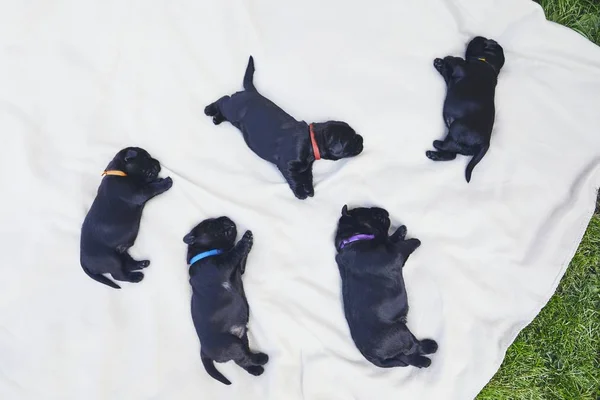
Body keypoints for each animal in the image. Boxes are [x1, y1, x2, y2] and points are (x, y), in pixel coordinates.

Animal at [79, 147, 171, 288]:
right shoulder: (138, 193)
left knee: (127, 264)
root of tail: (83, 261)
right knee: (118, 275)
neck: (121, 172)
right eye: (146, 157)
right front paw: (166, 182)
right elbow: (152, 188)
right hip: (111, 259)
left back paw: (141, 263)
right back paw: (136, 277)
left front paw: (159, 180)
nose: (158, 162)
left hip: (121, 253)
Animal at [183, 217, 268, 386]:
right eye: (209, 224)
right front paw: (244, 240)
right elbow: (234, 253)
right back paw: (261, 359)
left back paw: (255, 370)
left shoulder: (238, 269)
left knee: (241, 359)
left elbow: (241, 259)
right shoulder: (223, 263)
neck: (206, 252)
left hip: (241, 339)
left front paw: (249, 240)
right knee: (243, 357)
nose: (226, 218)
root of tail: (203, 350)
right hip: (231, 343)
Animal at [206, 55, 364, 199]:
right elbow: (295, 179)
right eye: (351, 141)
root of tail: (252, 91)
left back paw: (216, 118)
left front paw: (310, 190)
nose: (362, 139)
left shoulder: (307, 168)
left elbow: (307, 177)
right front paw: (301, 193)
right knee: (224, 100)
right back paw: (208, 109)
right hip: (234, 108)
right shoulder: (288, 165)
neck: (311, 141)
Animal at [332, 206, 436, 368]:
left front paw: (401, 231)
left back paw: (424, 361)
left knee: (406, 357)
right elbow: (403, 245)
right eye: (372, 212)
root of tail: (372, 356)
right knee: (412, 347)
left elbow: (389, 238)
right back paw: (429, 348)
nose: (384, 211)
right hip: (401, 332)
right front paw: (412, 239)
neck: (354, 238)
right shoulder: (395, 252)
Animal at [426, 36, 506, 183]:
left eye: (480, 40)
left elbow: (455, 60)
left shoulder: (461, 67)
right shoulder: (451, 78)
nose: (476, 36)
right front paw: (440, 64)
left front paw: (445, 59)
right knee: (452, 154)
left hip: (456, 127)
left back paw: (437, 145)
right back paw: (434, 155)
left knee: (448, 147)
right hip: (459, 142)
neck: (488, 63)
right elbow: (447, 73)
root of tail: (485, 143)